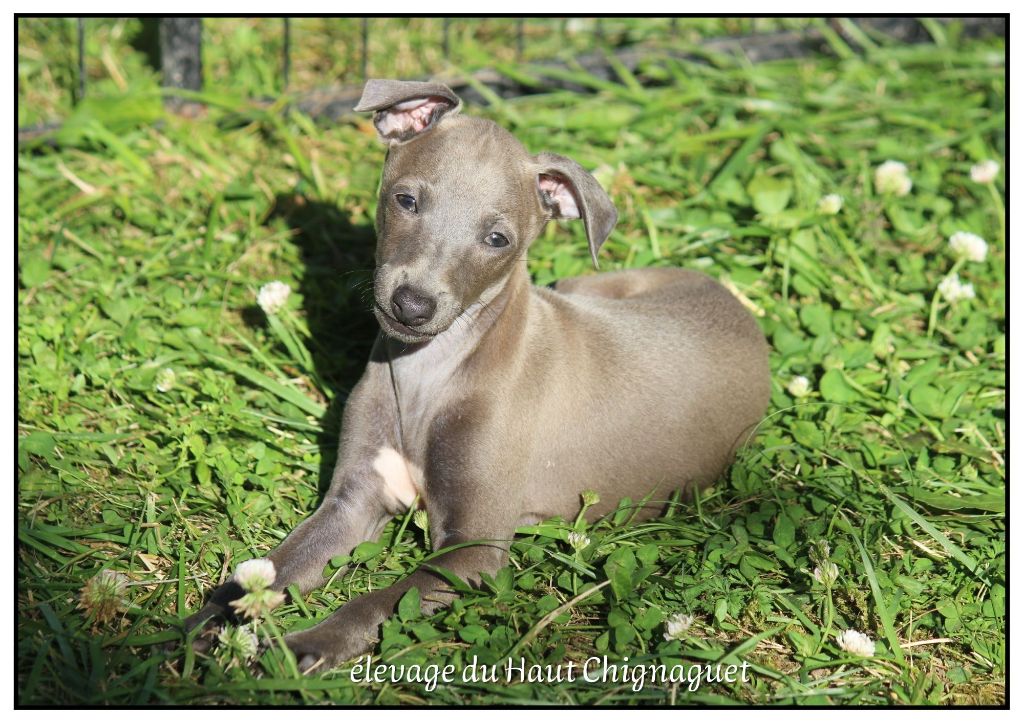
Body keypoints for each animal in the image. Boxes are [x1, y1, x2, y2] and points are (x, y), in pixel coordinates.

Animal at [186, 78, 770, 671]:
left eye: (497, 240)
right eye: (406, 200)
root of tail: (735, 303)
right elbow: (274, 568)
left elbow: (379, 601)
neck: (430, 373)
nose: (411, 305)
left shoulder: (473, 550)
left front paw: (309, 644)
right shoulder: (353, 501)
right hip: (584, 286)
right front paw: (209, 620)